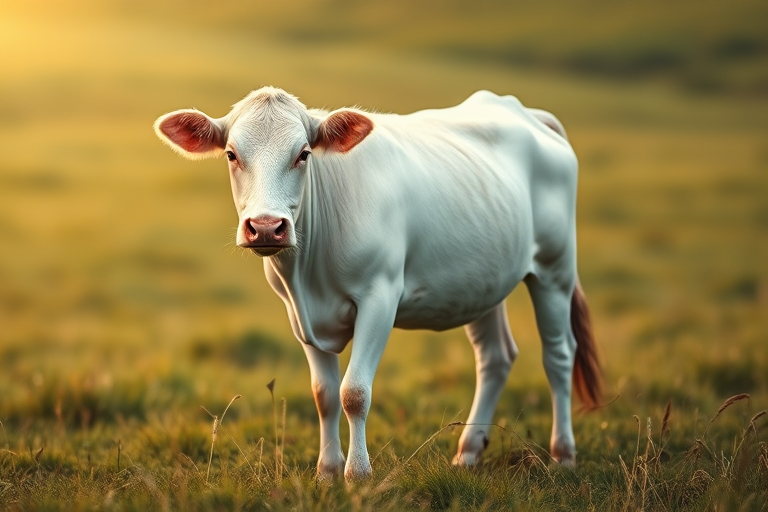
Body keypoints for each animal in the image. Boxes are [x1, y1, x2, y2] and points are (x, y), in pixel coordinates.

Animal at [154, 86, 601, 481]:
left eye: (303, 154)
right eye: (232, 154)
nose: (266, 226)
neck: (308, 277)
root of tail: (522, 110)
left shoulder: (380, 296)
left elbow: (354, 392)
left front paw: (358, 473)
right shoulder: (298, 313)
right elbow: (324, 394)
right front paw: (327, 473)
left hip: (555, 268)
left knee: (559, 356)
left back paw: (563, 455)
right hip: (481, 282)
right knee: (495, 357)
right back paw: (468, 454)